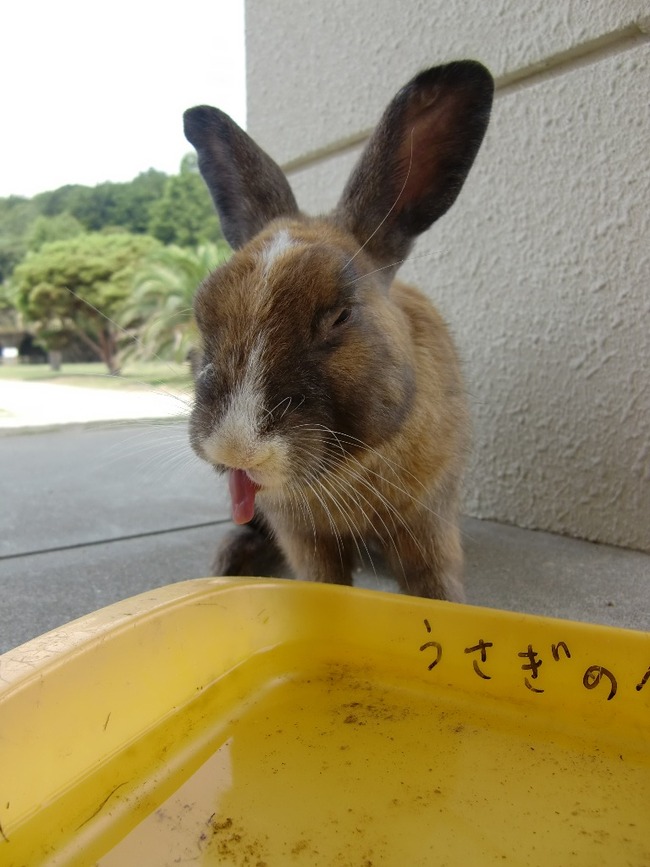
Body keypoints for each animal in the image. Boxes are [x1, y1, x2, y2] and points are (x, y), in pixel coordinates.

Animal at [183, 60, 494, 600]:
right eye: (203, 312)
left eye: (341, 316)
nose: (235, 448)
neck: (343, 472)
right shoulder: (301, 535)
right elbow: (323, 580)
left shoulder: (427, 522)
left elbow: (434, 580)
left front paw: (446, 604)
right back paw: (227, 563)